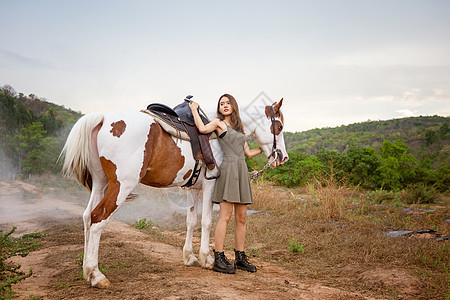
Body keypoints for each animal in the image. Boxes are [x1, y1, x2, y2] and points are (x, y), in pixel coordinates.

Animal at [60, 99, 288, 288]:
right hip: (120, 186)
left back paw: (86, 271)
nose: (283, 157)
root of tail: (103, 118)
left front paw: (190, 257)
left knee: (87, 217)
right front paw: (207, 259)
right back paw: (96, 275)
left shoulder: (192, 188)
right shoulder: (210, 186)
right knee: (98, 219)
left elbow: (191, 221)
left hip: (100, 183)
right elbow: (206, 221)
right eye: (279, 127)